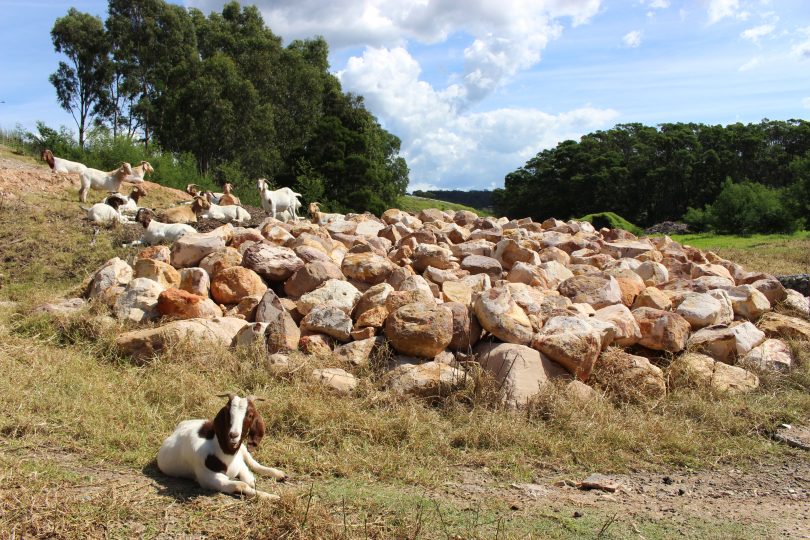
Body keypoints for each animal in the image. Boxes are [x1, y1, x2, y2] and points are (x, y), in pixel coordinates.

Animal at [156, 392, 286, 502]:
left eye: (250, 415)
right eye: (227, 414)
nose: (233, 435)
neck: (227, 456)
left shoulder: (240, 464)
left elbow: (250, 478)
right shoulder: (211, 479)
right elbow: (243, 484)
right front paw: (272, 496)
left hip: (243, 448)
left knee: (252, 462)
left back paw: (280, 474)